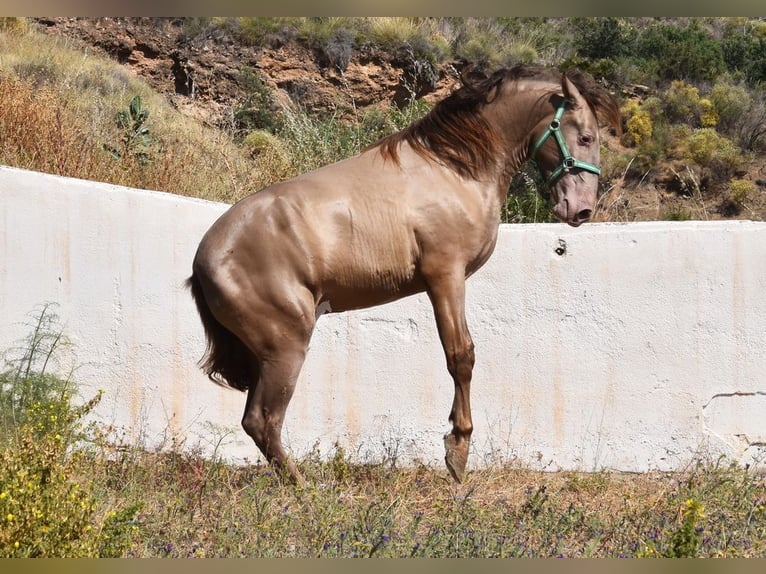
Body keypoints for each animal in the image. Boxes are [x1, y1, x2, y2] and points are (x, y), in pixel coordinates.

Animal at [188, 64, 624, 486]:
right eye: (586, 136)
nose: (582, 209)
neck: (452, 169)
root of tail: (202, 260)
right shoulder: (445, 276)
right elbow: (460, 356)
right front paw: (457, 451)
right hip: (285, 348)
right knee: (263, 420)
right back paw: (305, 487)